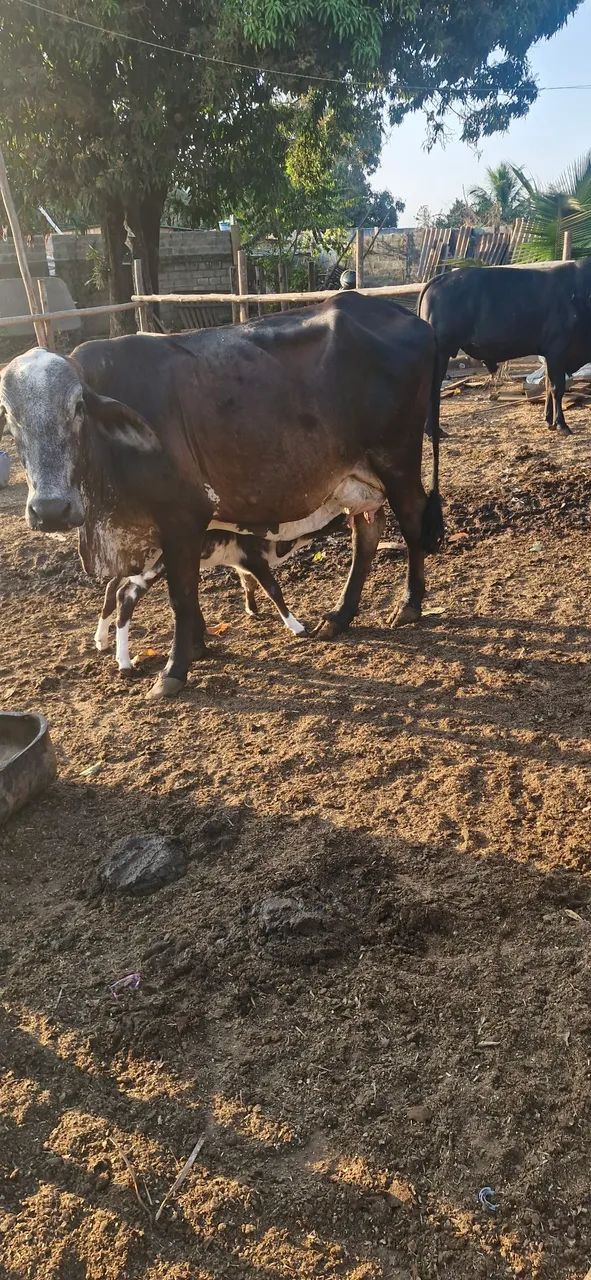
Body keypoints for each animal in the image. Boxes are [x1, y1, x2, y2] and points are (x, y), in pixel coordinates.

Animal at [95, 519, 347, 673]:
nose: (345, 517)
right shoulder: (254, 557)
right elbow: (273, 589)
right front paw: (297, 626)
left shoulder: (241, 561)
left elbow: (248, 583)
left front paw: (252, 610)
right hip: (152, 567)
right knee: (126, 596)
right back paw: (125, 662)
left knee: (111, 589)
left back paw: (101, 639)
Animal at [419, 259, 591, 440]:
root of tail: (440, 278)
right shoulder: (556, 352)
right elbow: (556, 388)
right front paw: (561, 425)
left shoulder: (550, 356)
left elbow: (548, 387)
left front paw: (548, 420)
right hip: (442, 352)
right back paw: (432, 431)